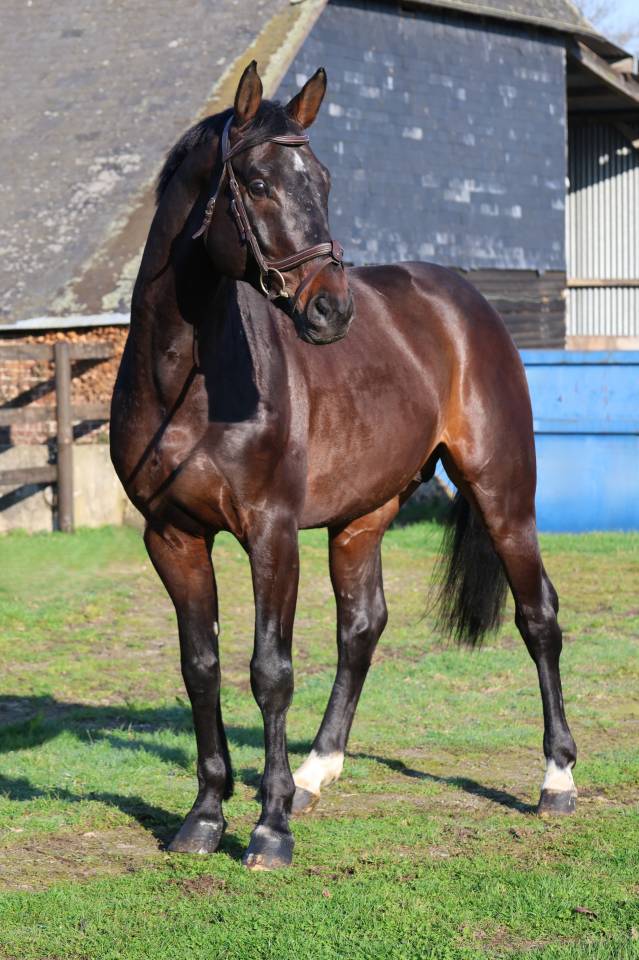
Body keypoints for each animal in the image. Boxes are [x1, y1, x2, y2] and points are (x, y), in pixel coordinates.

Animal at [110, 61, 577, 871]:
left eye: (322, 181)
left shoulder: (271, 533)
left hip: (503, 494)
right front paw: (205, 817)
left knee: (537, 617)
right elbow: (201, 667)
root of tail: (464, 301)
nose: (331, 310)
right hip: (363, 515)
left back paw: (555, 781)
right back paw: (314, 773)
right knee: (362, 626)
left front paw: (268, 831)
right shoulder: (171, 537)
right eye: (256, 182)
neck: (187, 381)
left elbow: (269, 671)